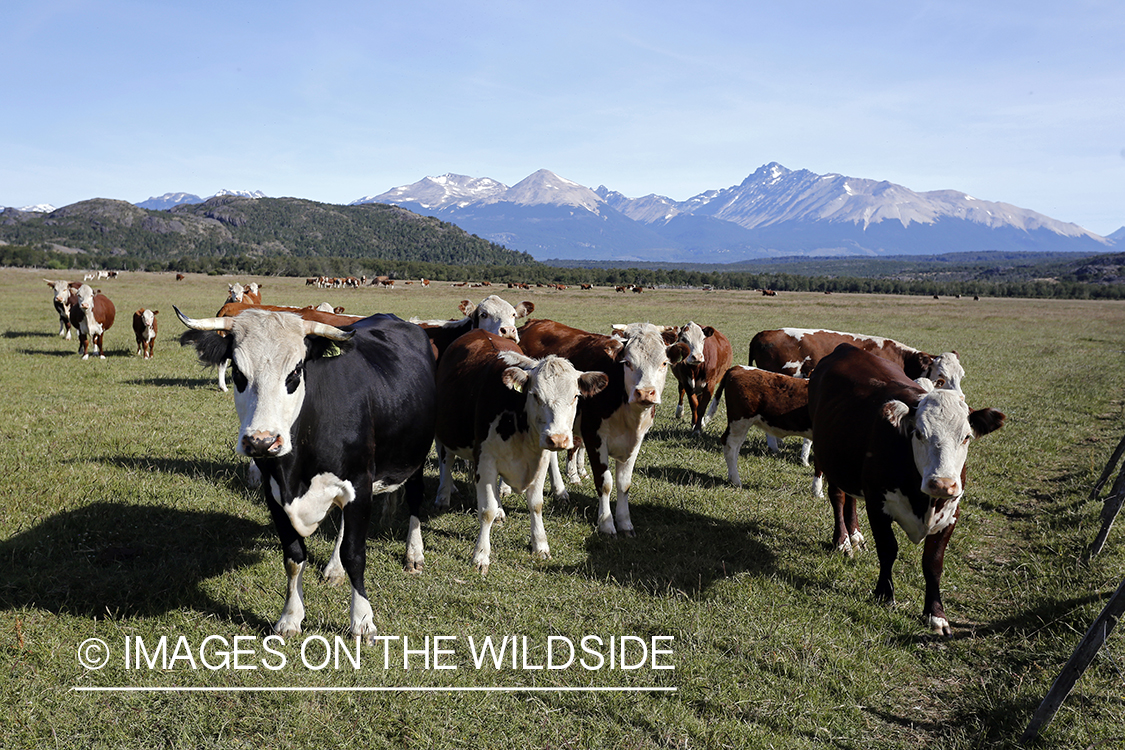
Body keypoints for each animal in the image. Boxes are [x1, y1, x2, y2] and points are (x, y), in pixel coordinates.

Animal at [177, 307, 437, 639]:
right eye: (238, 373)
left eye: (295, 372)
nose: (262, 441)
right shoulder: (275, 494)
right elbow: (293, 557)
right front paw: (290, 617)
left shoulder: (360, 486)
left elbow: (356, 555)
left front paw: (362, 620)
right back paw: (334, 568)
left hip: (415, 456)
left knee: (415, 499)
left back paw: (413, 554)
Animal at [434, 330, 607, 572]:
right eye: (535, 395)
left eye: (575, 396)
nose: (558, 439)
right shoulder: (485, 460)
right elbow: (486, 510)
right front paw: (481, 555)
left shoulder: (539, 461)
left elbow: (536, 504)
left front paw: (540, 545)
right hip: (446, 430)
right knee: (446, 460)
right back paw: (443, 495)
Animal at [519, 319, 689, 536]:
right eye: (628, 363)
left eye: (664, 363)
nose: (644, 393)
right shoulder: (594, 437)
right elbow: (604, 482)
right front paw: (606, 524)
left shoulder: (636, 440)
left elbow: (624, 483)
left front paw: (625, 523)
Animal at [808, 344, 1005, 635]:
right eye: (919, 433)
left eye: (966, 436)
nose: (942, 484)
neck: (925, 501)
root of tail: (846, 348)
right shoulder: (877, 504)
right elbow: (888, 549)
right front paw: (884, 595)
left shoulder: (951, 515)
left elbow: (933, 563)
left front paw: (936, 614)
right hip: (829, 459)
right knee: (839, 497)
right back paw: (843, 540)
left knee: (851, 500)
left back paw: (855, 535)